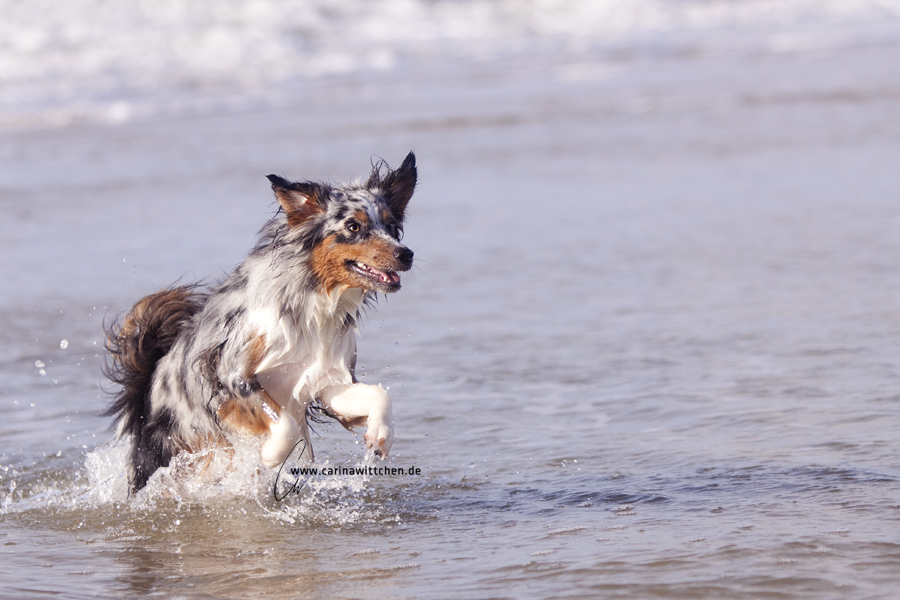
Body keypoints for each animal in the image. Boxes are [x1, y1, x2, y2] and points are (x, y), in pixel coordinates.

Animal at [104, 152, 418, 494]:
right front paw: (271, 455)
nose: (406, 254)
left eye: (392, 225)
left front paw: (381, 434)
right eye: (353, 226)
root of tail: (146, 385)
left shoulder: (326, 381)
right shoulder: (231, 373)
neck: (312, 303)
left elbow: (379, 394)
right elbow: (287, 425)